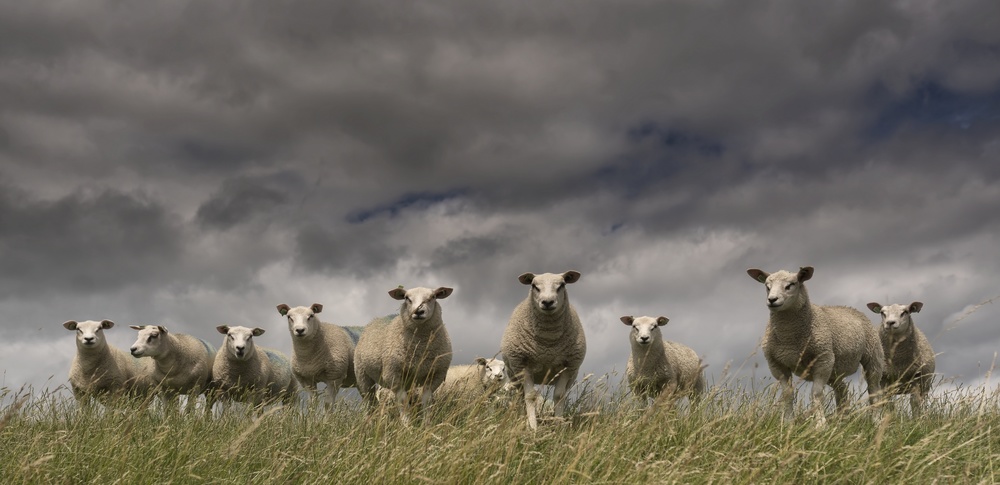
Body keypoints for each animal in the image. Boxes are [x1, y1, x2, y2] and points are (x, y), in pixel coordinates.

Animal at [354, 284, 456, 424]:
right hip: (362, 375)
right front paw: (406, 425)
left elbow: (427, 400)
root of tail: (374, 321)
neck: (420, 347)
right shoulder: (393, 375)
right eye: (407, 298)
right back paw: (369, 422)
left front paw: (426, 424)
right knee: (369, 401)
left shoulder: (435, 375)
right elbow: (402, 401)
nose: (418, 311)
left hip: (407, 380)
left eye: (433, 297)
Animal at [500, 270, 584, 430]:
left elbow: (559, 395)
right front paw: (533, 426)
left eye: (562, 285)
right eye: (534, 286)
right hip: (514, 373)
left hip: (572, 375)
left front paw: (559, 425)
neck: (548, 343)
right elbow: (530, 396)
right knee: (520, 395)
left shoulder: (568, 366)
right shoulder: (523, 364)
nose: (547, 302)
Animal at [748, 266, 888, 426]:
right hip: (834, 369)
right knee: (842, 390)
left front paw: (820, 424)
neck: (789, 338)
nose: (772, 300)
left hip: (872, 355)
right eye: (767, 286)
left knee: (873, 389)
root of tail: (849, 308)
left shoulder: (822, 359)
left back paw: (876, 421)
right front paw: (788, 423)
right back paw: (842, 420)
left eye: (791, 285)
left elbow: (816, 393)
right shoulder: (777, 364)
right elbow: (787, 395)